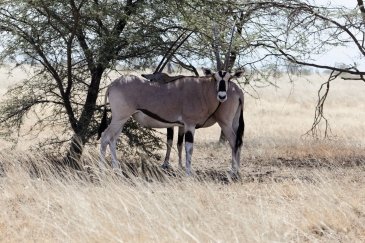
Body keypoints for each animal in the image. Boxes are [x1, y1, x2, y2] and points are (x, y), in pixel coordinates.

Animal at [98, 69, 243, 176]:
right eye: (215, 77)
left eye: (229, 78)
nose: (222, 96)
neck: (202, 89)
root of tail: (112, 85)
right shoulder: (189, 124)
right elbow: (188, 147)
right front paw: (187, 173)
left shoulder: (183, 125)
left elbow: (180, 144)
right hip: (119, 118)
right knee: (105, 137)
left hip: (121, 120)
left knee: (112, 139)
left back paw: (117, 170)